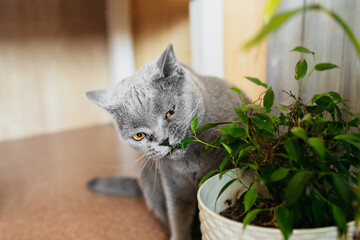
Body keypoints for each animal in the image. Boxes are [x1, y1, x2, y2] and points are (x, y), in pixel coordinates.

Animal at [86, 44, 249, 239]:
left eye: (170, 112)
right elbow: (178, 216)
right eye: (139, 135)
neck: (190, 162)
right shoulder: (173, 184)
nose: (164, 140)